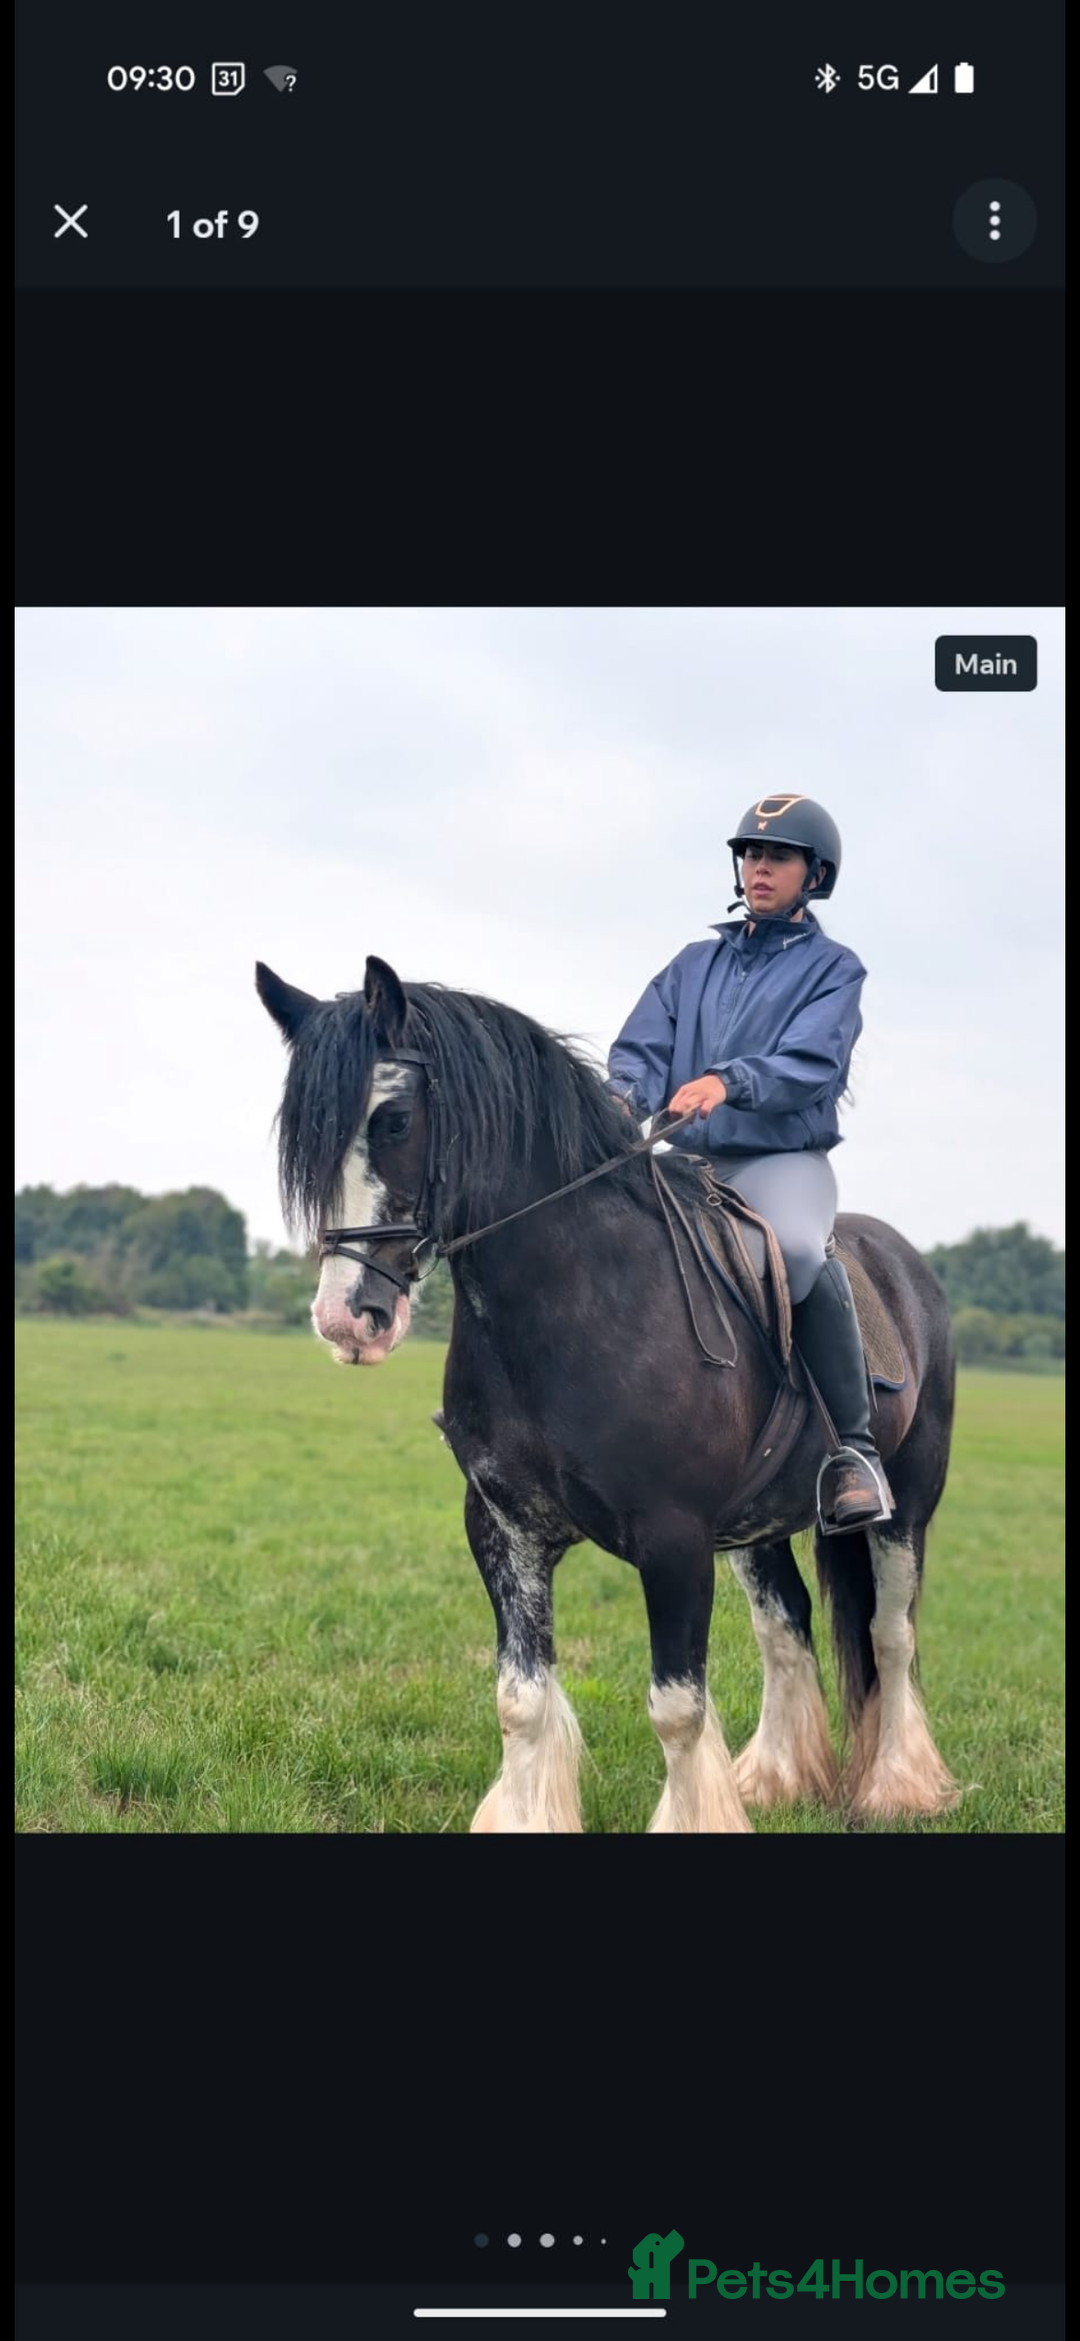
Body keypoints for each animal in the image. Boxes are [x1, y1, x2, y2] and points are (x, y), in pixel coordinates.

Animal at [257, 952, 960, 1834]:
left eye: (392, 1119)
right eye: (304, 1138)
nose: (347, 1318)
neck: (578, 1301)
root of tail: (903, 1261)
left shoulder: (673, 1539)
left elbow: (677, 1707)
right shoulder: (506, 1529)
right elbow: (521, 1698)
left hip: (906, 1504)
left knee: (891, 1632)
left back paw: (898, 1785)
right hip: (757, 1526)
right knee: (786, 1626)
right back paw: (776, 1777)